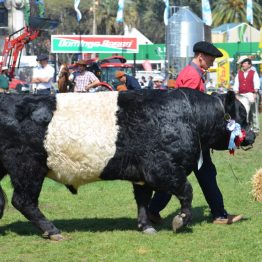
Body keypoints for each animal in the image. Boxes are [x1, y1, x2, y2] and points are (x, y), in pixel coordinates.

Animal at [0, 89, 255, 241]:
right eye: (241, 115)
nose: (253, 136)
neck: (189, 117)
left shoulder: (142, 174)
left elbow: (143, 199)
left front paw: (146, 225)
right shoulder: (162, 168)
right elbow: (186, 190)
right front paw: (180, 220)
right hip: (27, 167)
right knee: (23, 201)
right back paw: (52, 231)